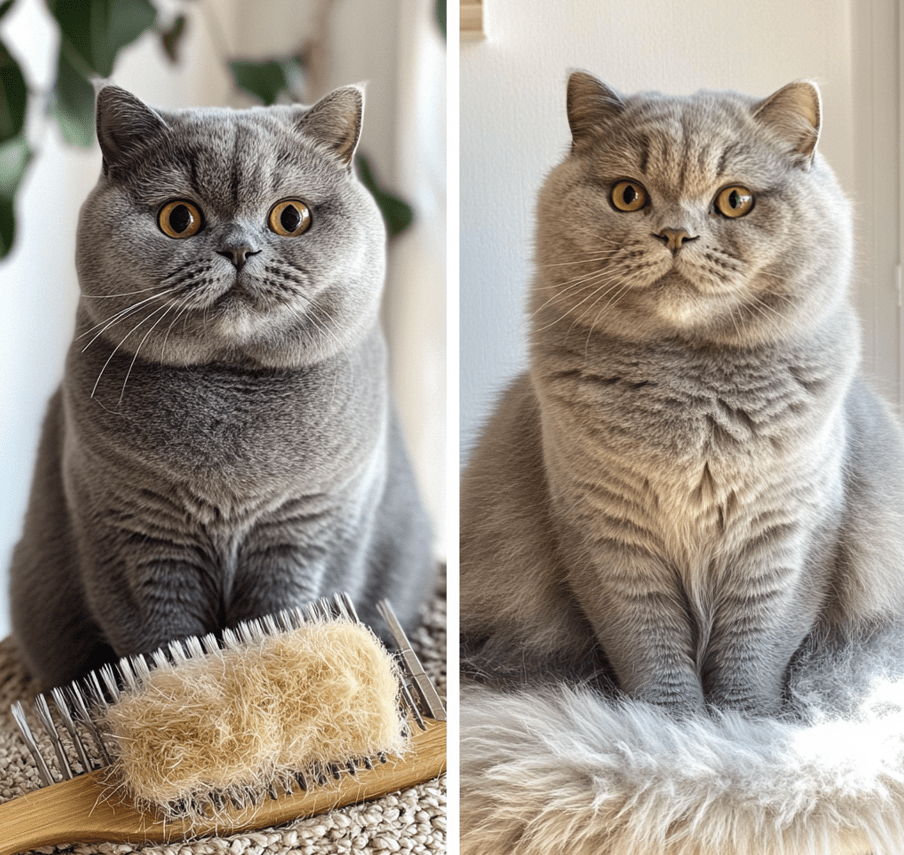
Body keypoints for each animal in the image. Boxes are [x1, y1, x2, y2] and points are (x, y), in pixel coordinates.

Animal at [10, 83, 434, 692]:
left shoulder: (307, 533)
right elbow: (163, 647)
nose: (238, 248)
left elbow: (282, 624)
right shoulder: (137, 541)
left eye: (291, 217)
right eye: (179, 218)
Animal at [462, 72, 904, 716]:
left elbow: (754, 648)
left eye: (735, 200)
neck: (693, 394)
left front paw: (739, 724)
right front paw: (669, 722)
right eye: (628, 195)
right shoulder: (606, 535)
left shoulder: (788, 536)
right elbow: (650, 646)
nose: (675, 234)